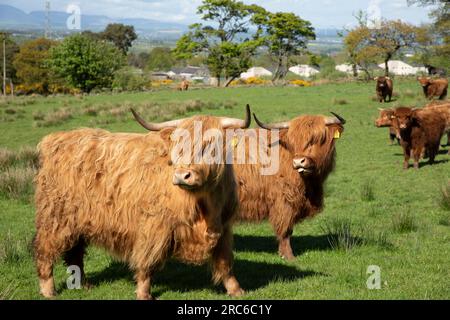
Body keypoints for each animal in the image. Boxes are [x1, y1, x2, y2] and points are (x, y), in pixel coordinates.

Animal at [34, 108, 253, 300]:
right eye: (177, 145)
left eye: (210, 144)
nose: (182, 175)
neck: (205, 204)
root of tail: (56, 138)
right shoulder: (154, 227)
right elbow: (147, 262)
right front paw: (143, 293)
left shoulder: (223, 227)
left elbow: (225, 262)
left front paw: (236, 289)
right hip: (55, 217)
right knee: (45, 250)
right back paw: (48, 289)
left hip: (77, 220)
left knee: (75, 252)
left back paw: (83, 284)